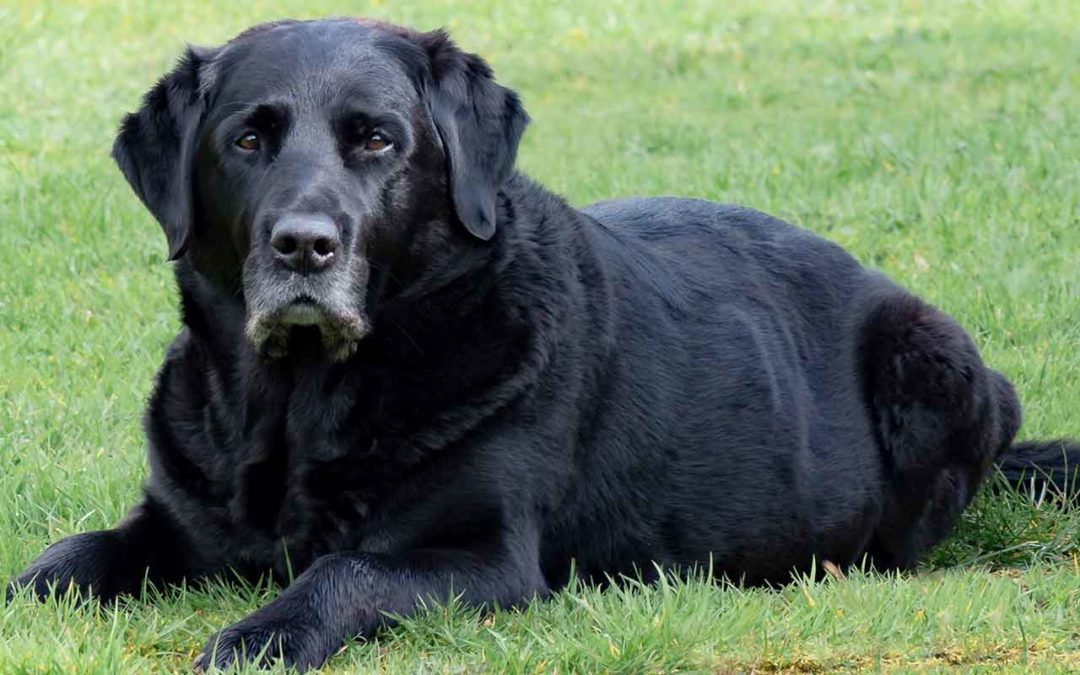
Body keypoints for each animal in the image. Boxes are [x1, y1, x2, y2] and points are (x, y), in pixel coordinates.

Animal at [10, 18, 1080, 669]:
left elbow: (342, 571)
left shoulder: (483, 559)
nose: (304, 244)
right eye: (246, 139)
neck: (300, 403)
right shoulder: (175, 520)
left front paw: (262, 633)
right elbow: (69, 556)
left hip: (933, 359)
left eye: (377, 140)